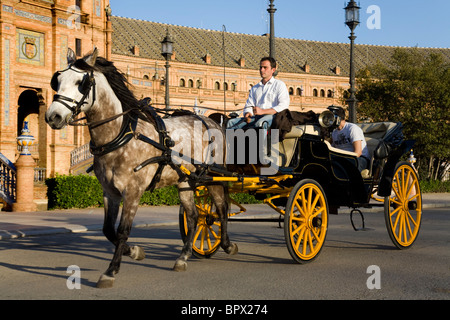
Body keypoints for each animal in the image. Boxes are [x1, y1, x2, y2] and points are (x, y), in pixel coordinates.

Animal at [44, 48, 239, 290]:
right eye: (58, 79)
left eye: (82, 82)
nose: (53, 116)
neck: (120, 135)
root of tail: (212, 122)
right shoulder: (110, 192)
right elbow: (109, 230)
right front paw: (136, 252)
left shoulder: (133, 191)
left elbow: (123, 230)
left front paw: (110, 271)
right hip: (185, 181)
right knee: (194, 216)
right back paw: (183, 257)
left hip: (213, 176)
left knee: (220, 209)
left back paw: (227, 244)